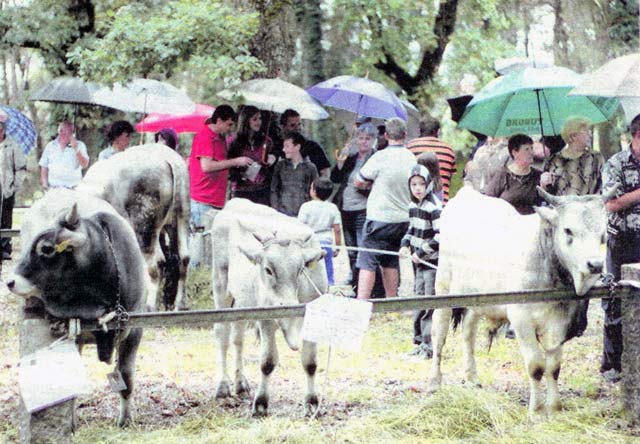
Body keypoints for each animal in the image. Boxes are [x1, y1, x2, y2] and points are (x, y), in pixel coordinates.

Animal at [77, 144, 190, 310]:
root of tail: (169, 159)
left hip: (143, 227)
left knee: (156, 264)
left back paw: (150, 306)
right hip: (180, 218)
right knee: (183, 259)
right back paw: (178, 305)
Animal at [212, 199, 328, 418]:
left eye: (301, 269)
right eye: (268, 270)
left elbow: (310, 362)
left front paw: (311, 402)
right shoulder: (265, 319)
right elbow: (267, 362)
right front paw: (261, 404)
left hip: (242, 303)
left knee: (238, 338)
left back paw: (240, 383)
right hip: (221, 287)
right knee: (222, 335)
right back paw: (223, 386)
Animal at [430, 186, 604, 416]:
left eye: (603, 234)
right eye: (568, 230)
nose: (595, 265)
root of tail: (466, 193)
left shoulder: (559, 322)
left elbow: (554, 367)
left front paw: (555, 408)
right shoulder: (521, 319)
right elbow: (536, 366)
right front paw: (537, 410)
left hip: (477, 299)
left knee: (468, 334)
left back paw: (472, 377)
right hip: (444, 287)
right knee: (439, 332)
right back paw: (435, 381)